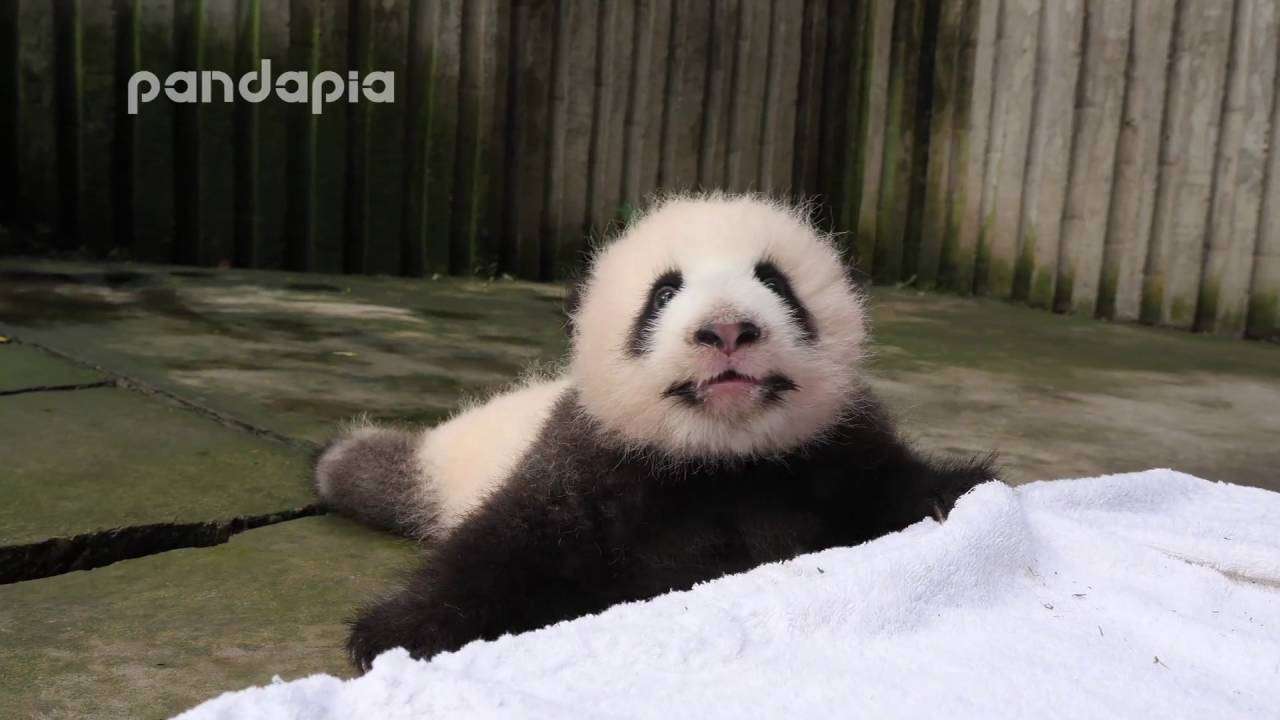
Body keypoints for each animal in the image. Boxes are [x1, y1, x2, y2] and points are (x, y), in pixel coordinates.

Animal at [315, 194, 995, 671]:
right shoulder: (592, 463)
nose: (727, 329)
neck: (725, 460)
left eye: (776, 282)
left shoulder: (832, 446)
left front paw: (956, 497)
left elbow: (892, 480)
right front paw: (397, 633)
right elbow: (508, 547)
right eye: (663, 294)